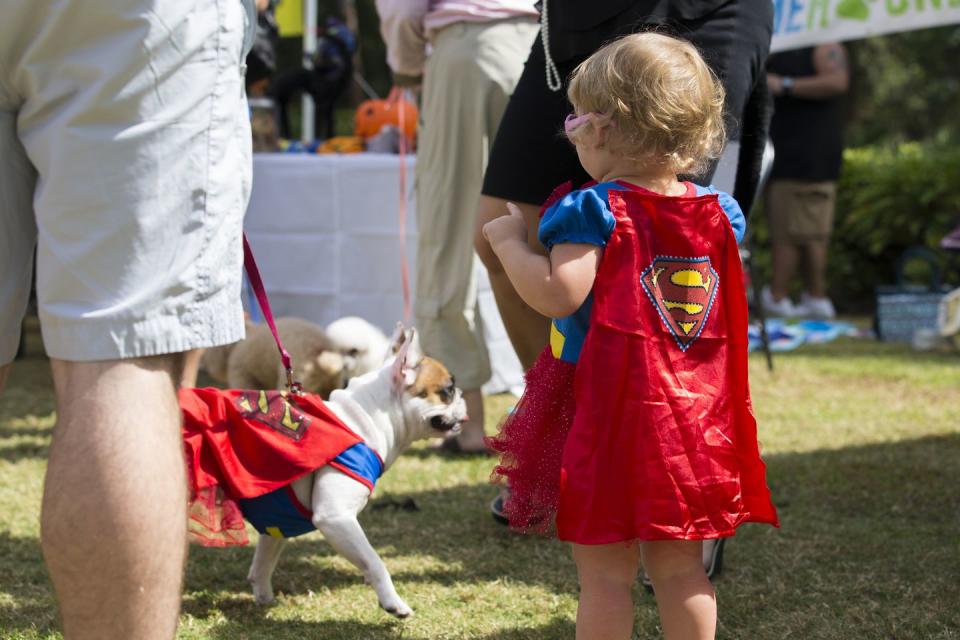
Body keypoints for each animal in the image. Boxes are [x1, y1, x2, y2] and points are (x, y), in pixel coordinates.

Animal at [242, 328, 464, 616]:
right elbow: (374, 560)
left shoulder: (278, 519)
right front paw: (392, 601)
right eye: (448, 390)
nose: (461, 394)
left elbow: (264, 561)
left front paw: (263, 598)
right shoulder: (335, 517)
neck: (361, 420)